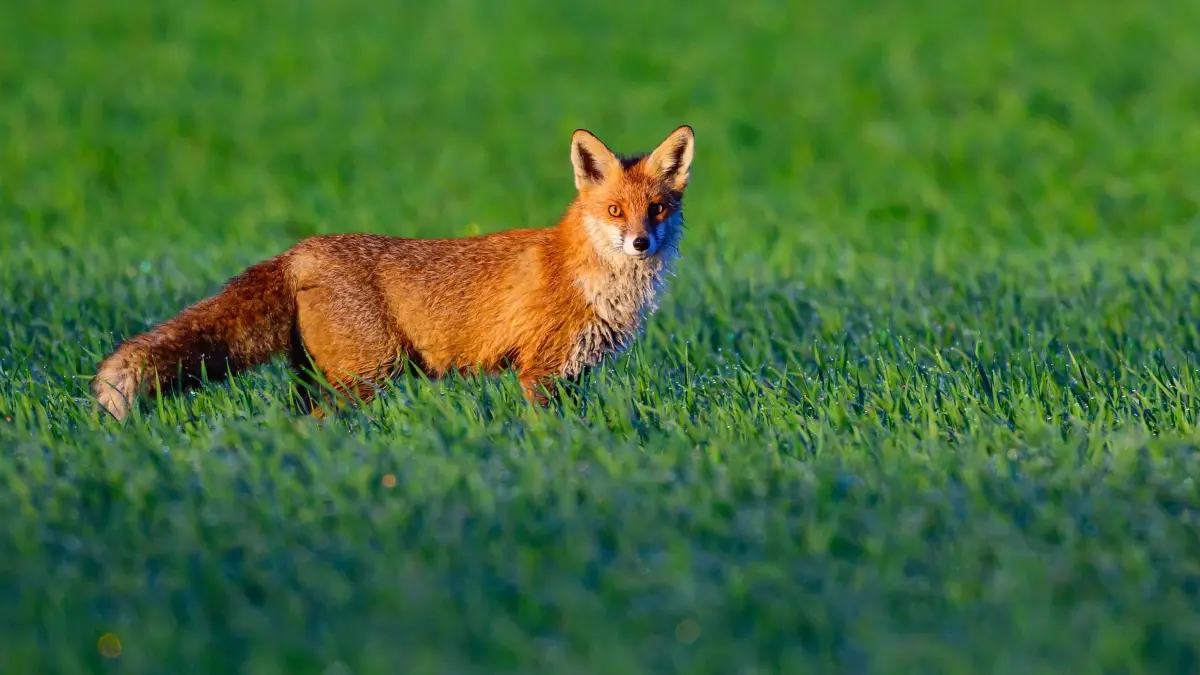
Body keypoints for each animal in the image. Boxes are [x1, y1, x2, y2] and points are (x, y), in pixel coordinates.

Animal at [91, 124, 696, 421]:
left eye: (656, 209)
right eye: (615, 211)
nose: (641, 243)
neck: (587, 276)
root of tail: (301, 249)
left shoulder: (574, 374)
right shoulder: (539, 372)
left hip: (320, 378)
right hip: (366, 374)